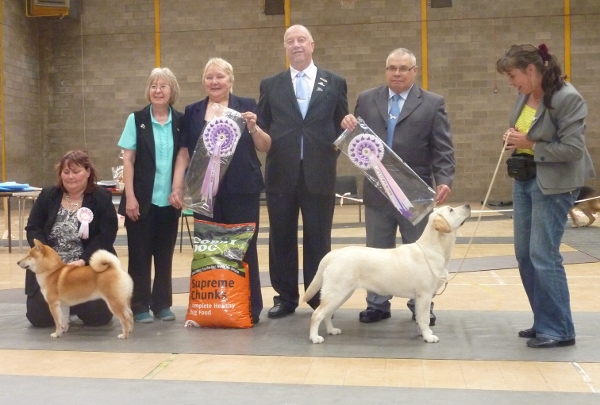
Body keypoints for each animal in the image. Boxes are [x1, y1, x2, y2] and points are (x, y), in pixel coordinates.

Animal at [308, 205, 472, 344]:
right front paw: (428, 337)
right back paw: (315, 337)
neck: (433, 248)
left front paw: (423, 333)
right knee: (317, 314)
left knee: (326, 313)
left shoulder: (420, 297)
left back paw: (331, 330)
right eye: (451, 210)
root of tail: (332, 254)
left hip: (342, 293)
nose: (468, 205)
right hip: (336, 292)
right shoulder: (424, 294)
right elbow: (424, 318)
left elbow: (419, 317)